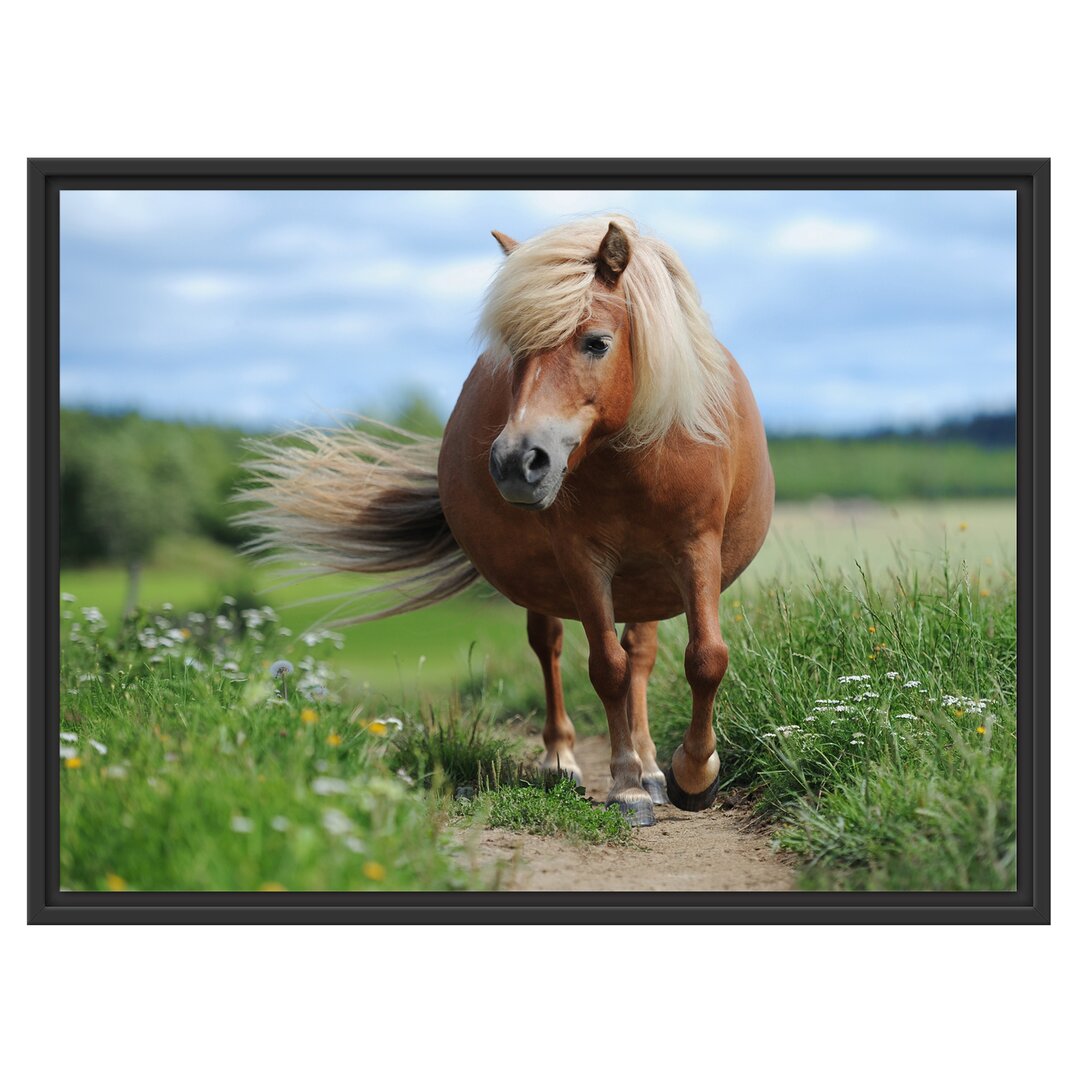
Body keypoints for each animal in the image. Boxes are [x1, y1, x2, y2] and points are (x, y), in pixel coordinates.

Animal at [239, 217, 773, 825]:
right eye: (515, 351)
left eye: (597, 342)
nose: (518, 461)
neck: (634, 457)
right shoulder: (583, 560)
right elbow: (606, 668)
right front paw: (626, 787)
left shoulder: (696, 548)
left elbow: (705, 658)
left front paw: (692, 775)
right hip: (552, 582)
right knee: (552, 647)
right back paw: (564, 763)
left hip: (648, 582)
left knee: (641, 653)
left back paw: (654, 769)